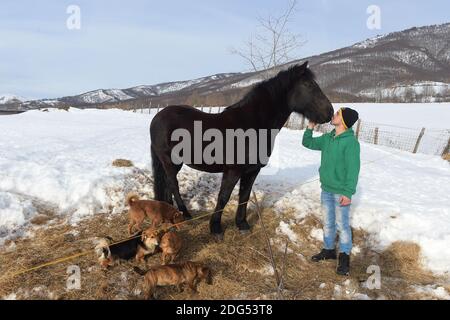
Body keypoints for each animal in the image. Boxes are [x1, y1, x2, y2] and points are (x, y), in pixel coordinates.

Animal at [149, 61, 332, 239]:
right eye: (308, 85)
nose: (329, 112)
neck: (251, 125)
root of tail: (158, 117)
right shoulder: (233, 171)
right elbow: (223, 197)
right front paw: (216, 228)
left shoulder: (252, 171)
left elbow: (244, 196)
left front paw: (242, 224)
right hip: (169, 161)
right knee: (173, 184)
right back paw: (185, 214)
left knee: (168, 185)